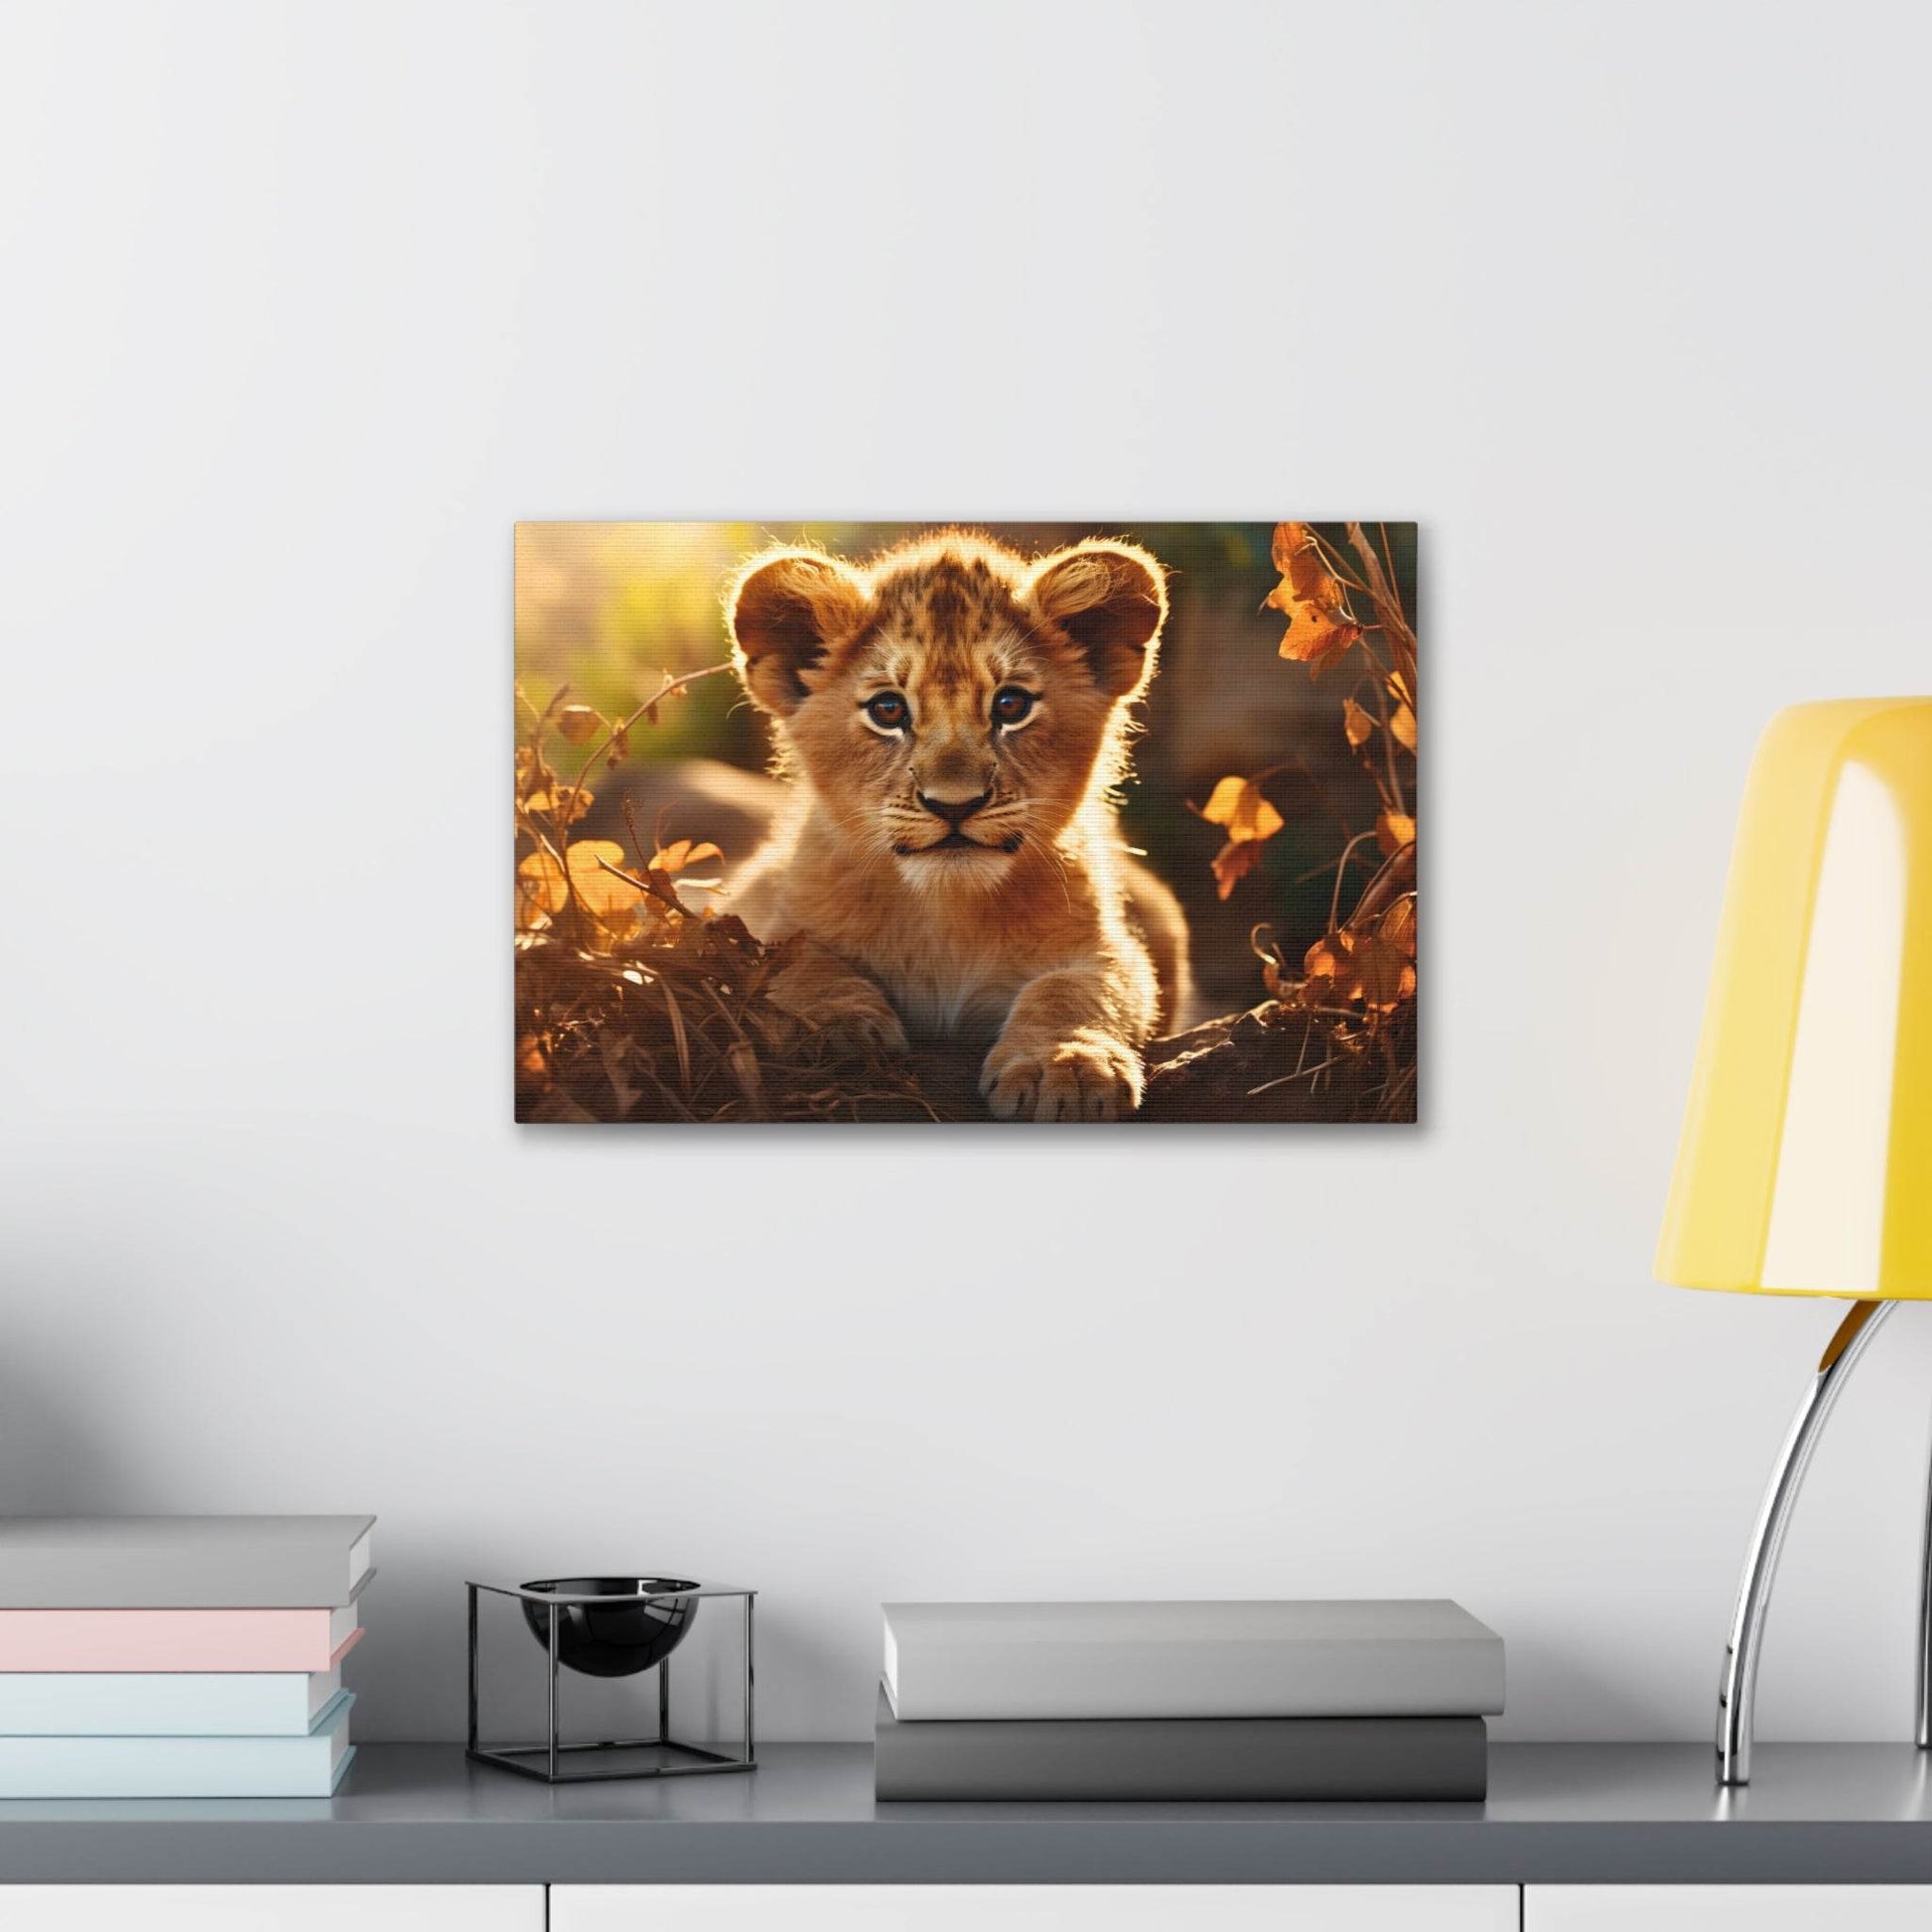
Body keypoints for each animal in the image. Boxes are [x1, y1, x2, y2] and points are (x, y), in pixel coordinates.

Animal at [725, 529, 1192, 1121]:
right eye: (888, 710)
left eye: (1011, 704)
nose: (954, 804)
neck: (945, 914)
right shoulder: (763, 915)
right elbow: (797, 961)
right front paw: (834, 1028)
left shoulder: (1109, 947)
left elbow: (1076, 989)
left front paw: (1065, 1065)